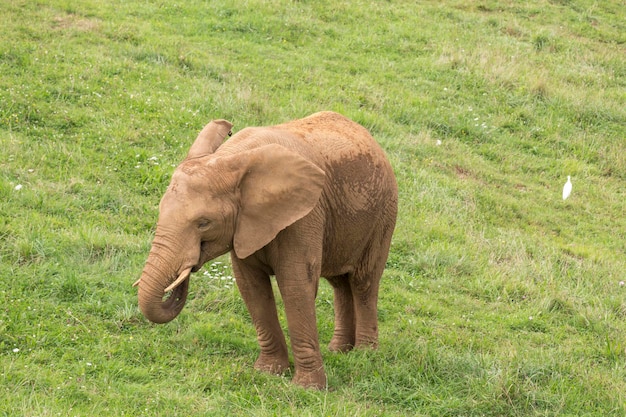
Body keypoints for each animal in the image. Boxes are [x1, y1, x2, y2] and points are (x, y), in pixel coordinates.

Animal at [133, 110, 394, 386]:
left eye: (203, 223)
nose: (186, 269)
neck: (228, 158)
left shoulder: (305, 215)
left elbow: (296, 287)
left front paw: (308, 388)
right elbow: (252, 288)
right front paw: (268, 372)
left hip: (384, 214)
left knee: (363, 282)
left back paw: (365, 354)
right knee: (339, 283)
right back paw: (339, 351)